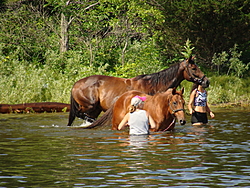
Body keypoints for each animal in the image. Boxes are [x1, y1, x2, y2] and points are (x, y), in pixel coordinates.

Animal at [67, 55, 209, 126]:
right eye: (194, 68)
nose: (206, 81)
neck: (153, 85)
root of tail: (75, 84)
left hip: (95, 109)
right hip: (89, 106)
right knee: (79, 114)